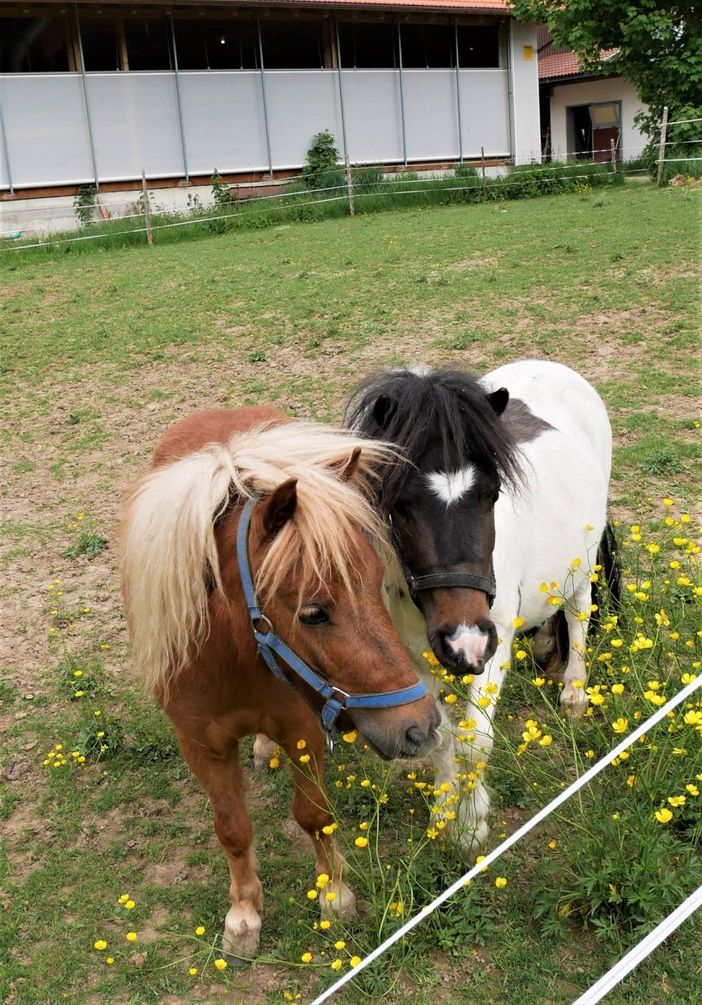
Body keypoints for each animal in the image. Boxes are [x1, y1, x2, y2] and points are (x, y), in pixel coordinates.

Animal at [121, 404, 439, 960]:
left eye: (377, 582)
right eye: (313, 612)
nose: (418, 726)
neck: (232, 658)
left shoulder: (303, 730)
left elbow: (314, 815)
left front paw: (334, 894)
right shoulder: (201, 747)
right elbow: (232, 829)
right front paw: (244, 915)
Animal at [345, 359, 614, 848]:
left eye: (492, 493)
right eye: (401, 504)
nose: (464, 641)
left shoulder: (495, 644)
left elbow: (476, 741)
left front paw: (471, 824)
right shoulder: (415, 658)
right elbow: (441, 736)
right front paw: (442, 810)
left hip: (582, 565)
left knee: (578, 614)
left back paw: (574, 691)